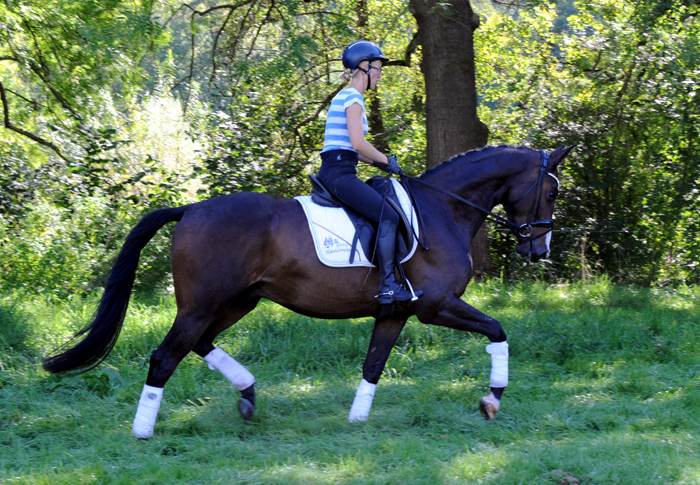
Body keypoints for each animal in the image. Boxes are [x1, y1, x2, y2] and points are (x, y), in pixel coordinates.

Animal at [41, 142, 576, 436]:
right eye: (551, 191)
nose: (539, 250)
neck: (444, 209)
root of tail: (190, 209)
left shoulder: (396, 313)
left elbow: (374, 365)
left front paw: (357, 420)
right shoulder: (437, 306)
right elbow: (497, 330)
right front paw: (492, 400)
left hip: (237, 301)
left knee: (199, 344)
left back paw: (247, 395)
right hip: (204, 302)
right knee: (165, 356)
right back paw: (143, 432)